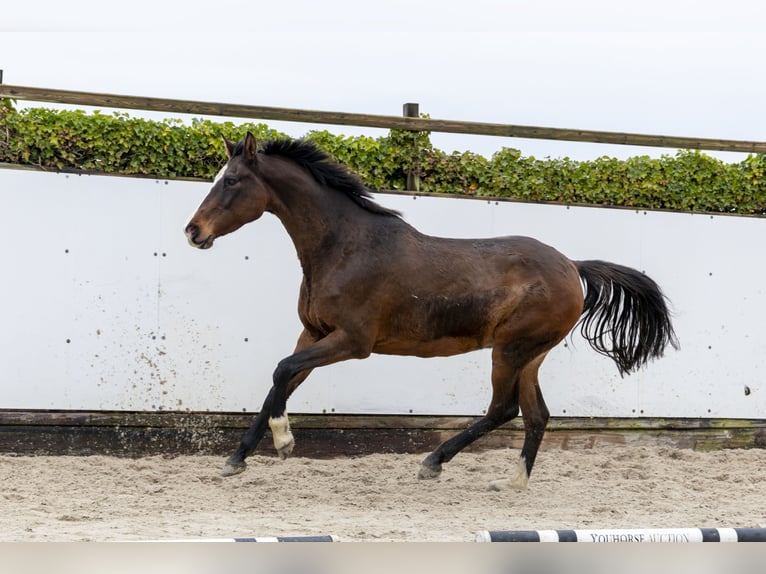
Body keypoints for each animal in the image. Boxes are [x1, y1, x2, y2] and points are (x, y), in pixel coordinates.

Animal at [184, 132, 678, 490]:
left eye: (231, 181)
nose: (193, 232)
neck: (344, 247)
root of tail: (573, 266)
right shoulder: (314, 333)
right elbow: (281, 379)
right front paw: (237, 458)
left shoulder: (352, 341)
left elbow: (282, 371)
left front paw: (284, 441)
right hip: (530, 354)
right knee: (536, 414)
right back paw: (512, 483)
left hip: (511, 350)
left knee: (503, 409)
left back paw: (433, 463)